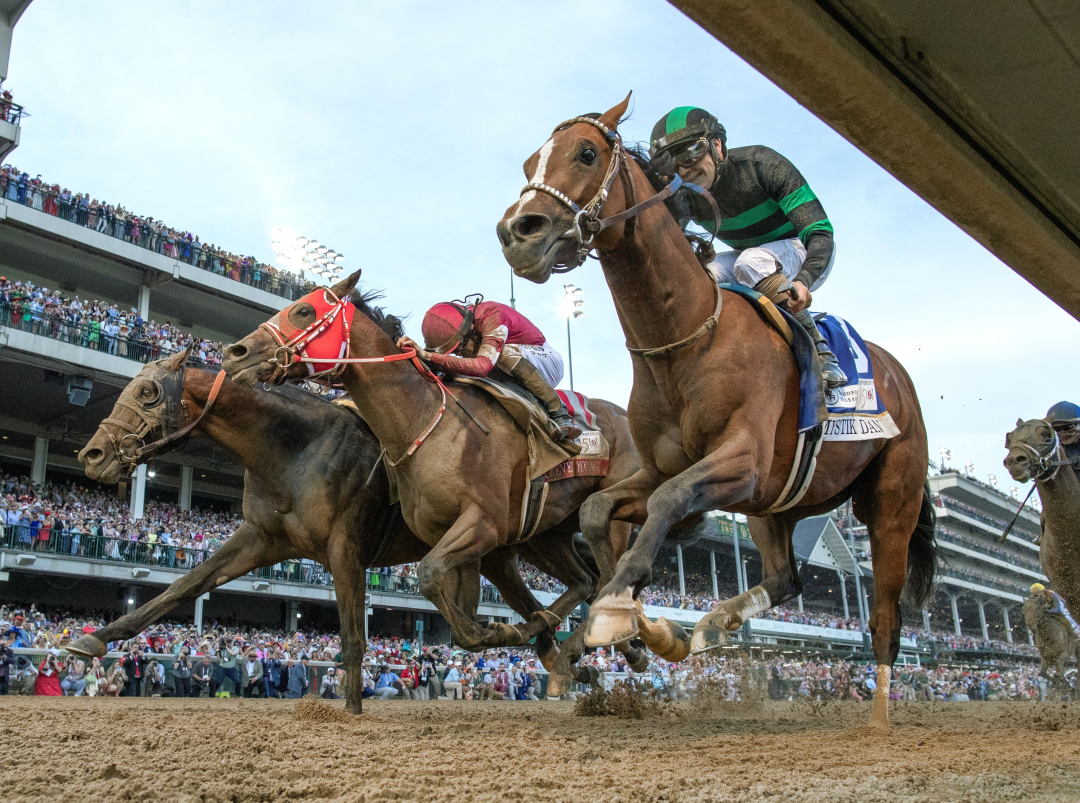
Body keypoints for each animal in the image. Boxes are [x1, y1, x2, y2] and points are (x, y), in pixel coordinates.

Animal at [69, 347, 609, 703]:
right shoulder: (260, 538)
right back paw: (566, 659)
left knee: (586, 584)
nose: (91, 454)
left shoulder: (345, 548)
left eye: (147, 391)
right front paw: (94, 637)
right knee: (571, 590)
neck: (294, 448)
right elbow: (183, 586)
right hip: (519, 545)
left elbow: (353, 639)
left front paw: (349, 711)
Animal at [221, 284, 691, 695]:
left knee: (614, 577)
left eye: (304, 310)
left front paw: (501, 630)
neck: (425, 421)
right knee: (585, 580)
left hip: (611, 513)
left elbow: (429, 575)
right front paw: (502, 630)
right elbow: (451, 605)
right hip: (545, 534)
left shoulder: (483, 525)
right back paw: (565, 645)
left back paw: (620, 644)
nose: (234, 353)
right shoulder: (457, 538)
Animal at [494, 92, 937, 729]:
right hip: (775, 504)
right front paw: (632, 622)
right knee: (785, 577)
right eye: (531, 162)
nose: (517, 232)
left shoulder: (740, 461)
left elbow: (666, 501)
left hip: (890, 499)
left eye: (586, 153)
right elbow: (600, 510)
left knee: (884, 613)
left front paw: (616, 609)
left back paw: (878, 713)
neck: (685, 339)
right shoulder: (668, 466)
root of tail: (899, 375)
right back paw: (705, 626)